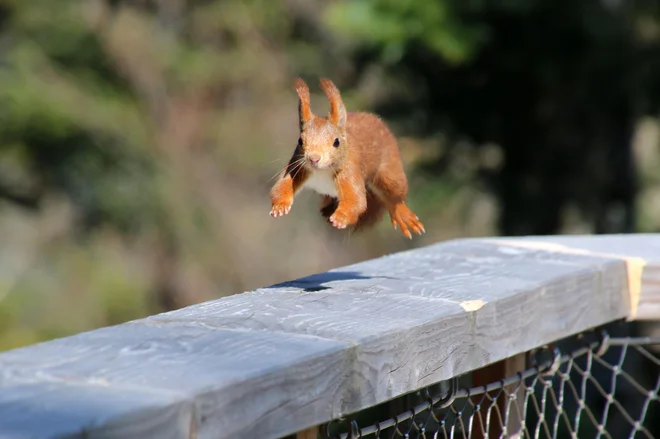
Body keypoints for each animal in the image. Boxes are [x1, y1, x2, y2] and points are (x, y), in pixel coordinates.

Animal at [270, 77, 426, 239]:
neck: (322, 171)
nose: (314, 159)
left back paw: (403, 214)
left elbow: (355, 200)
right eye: (300, 141)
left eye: (336, 142)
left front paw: (341, 217)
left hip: (389, 172)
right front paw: (280, 205)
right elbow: (281, 186)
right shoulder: (297, 166)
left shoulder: (349, 171)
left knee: (395, 197)